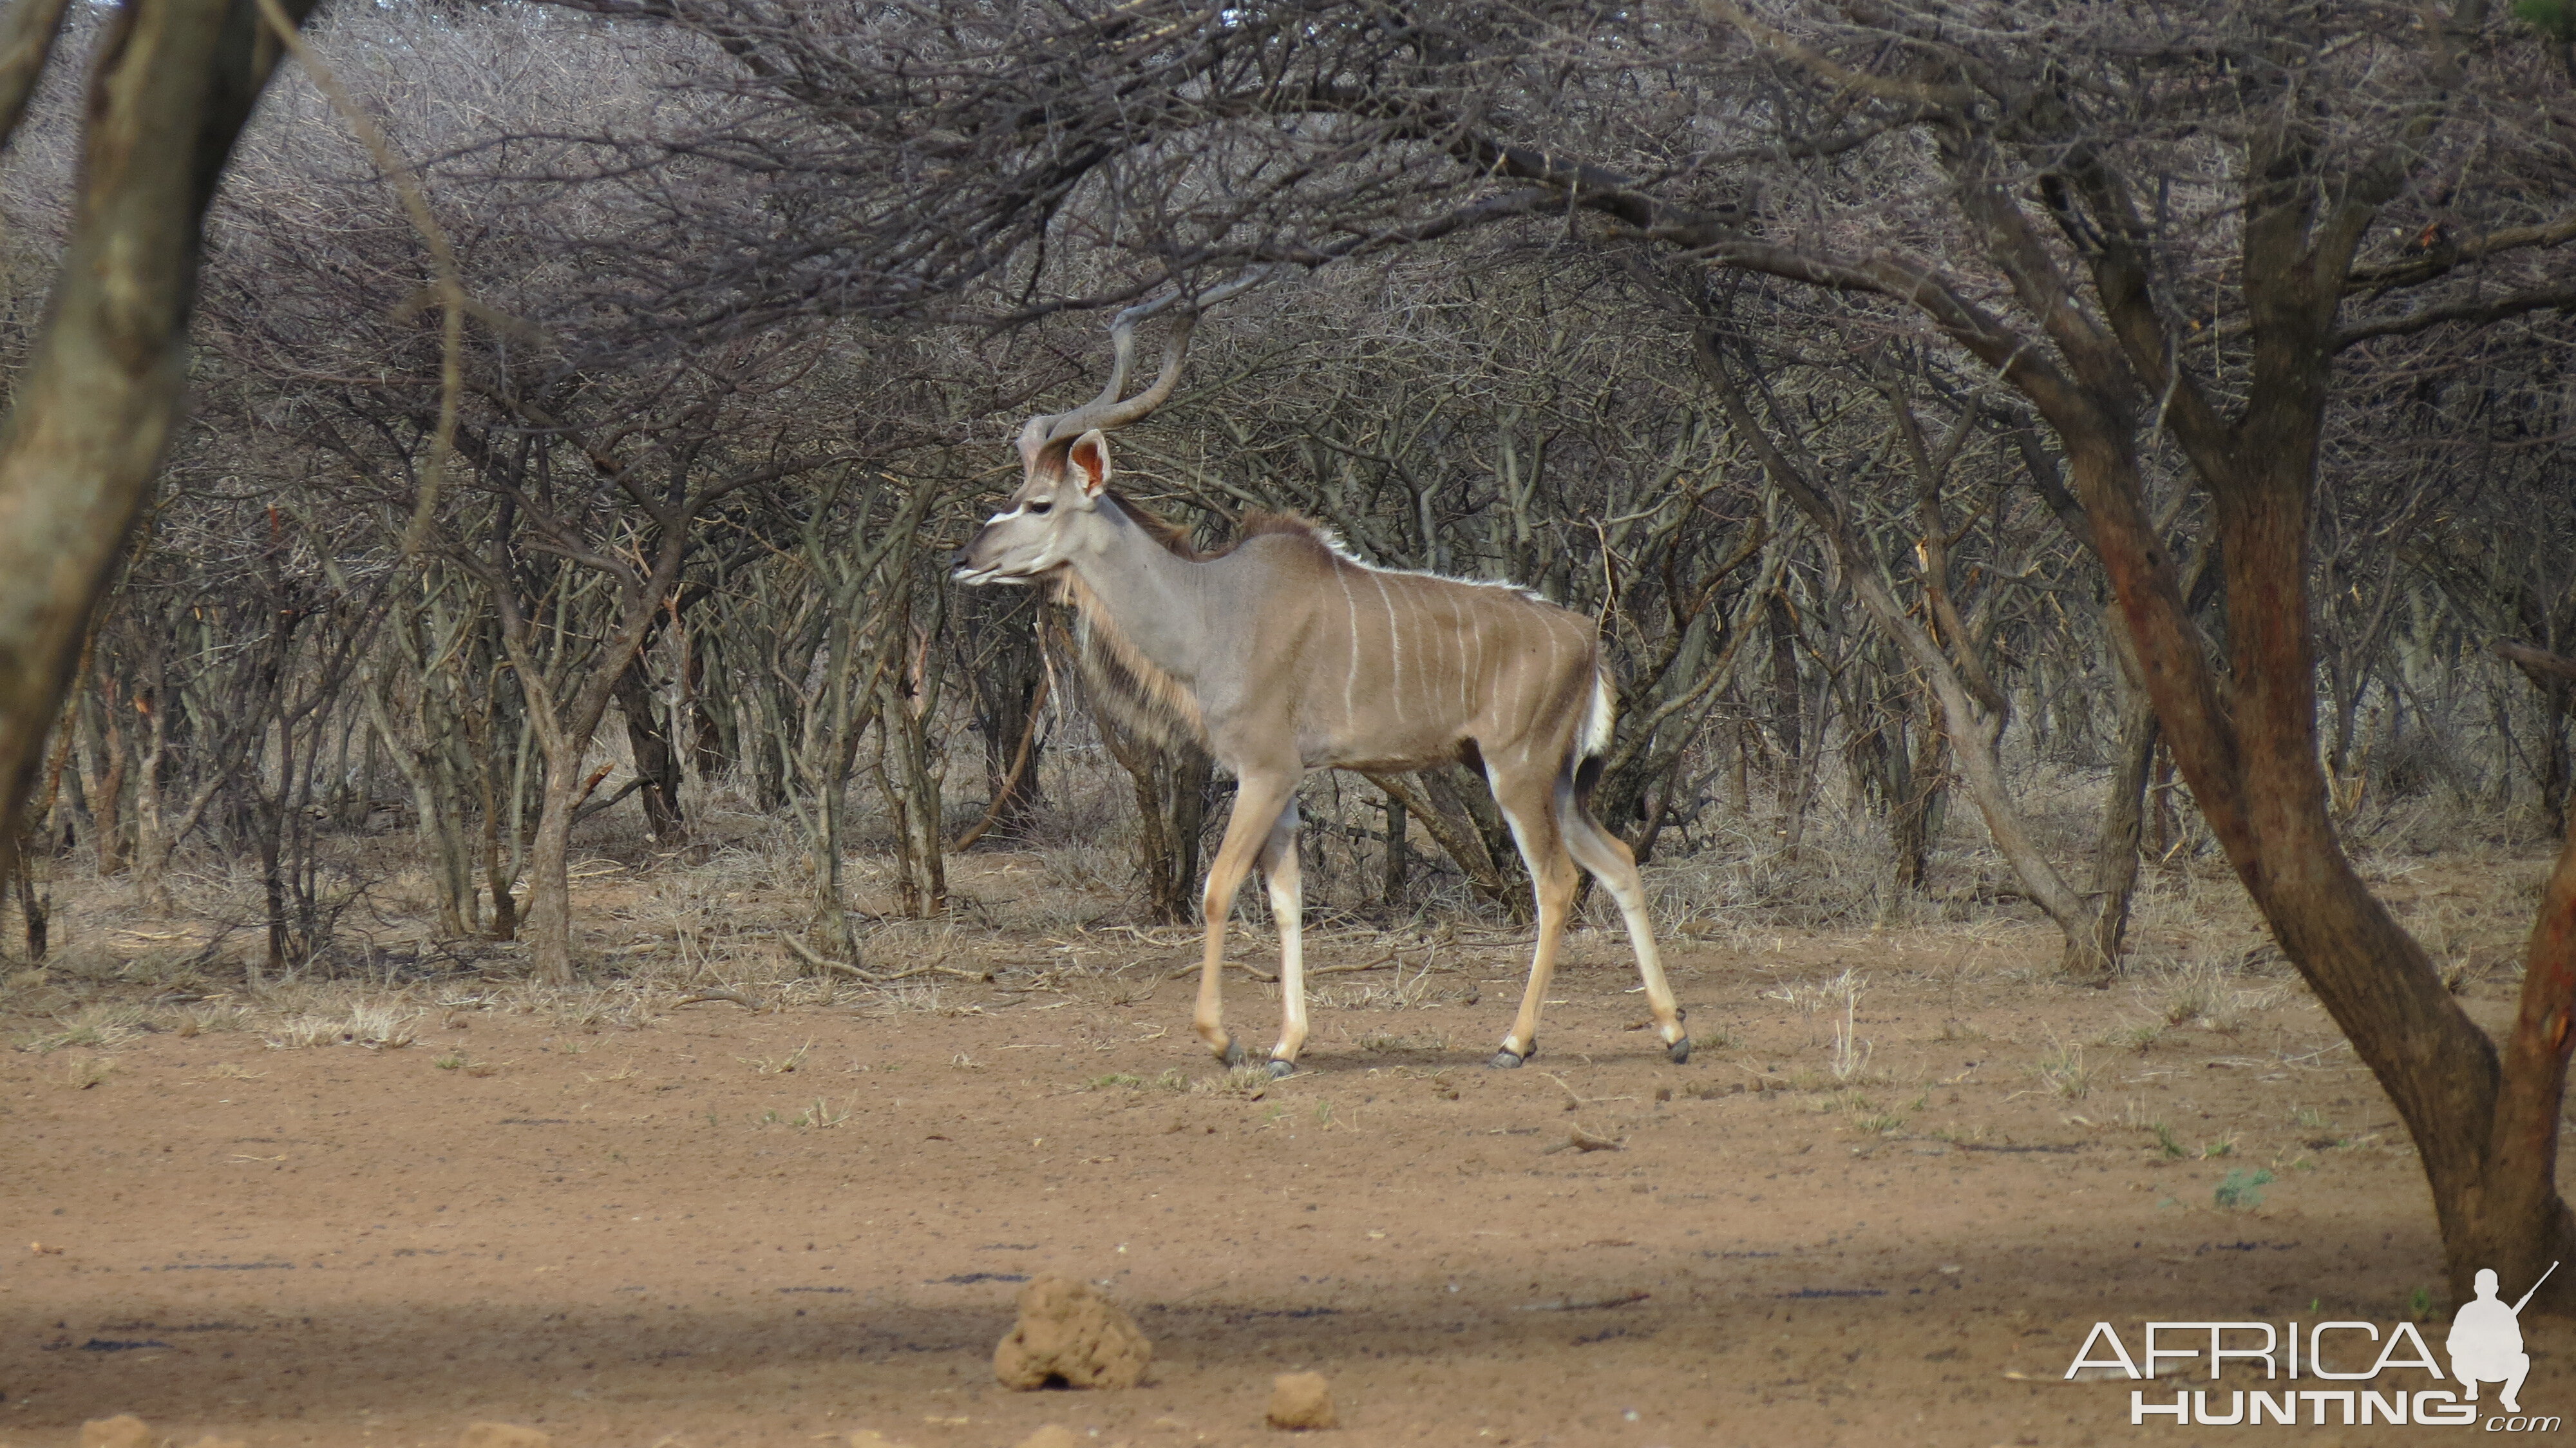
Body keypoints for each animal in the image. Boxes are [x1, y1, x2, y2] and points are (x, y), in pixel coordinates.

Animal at [953, 290, 1690, 1072]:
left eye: (1039, 503)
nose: (964, 559)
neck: (1211, 607)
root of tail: (1589, 641)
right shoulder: (1281, 783)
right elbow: (1286, 902)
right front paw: (1286, 1046)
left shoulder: (1265, 771)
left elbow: (1217, 889)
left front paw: (1223, 1039)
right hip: (1558, 781)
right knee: (1617, 861)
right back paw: (1672, 1032)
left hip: (1517, 772)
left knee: (1556, 883)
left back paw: (1515, 1043)